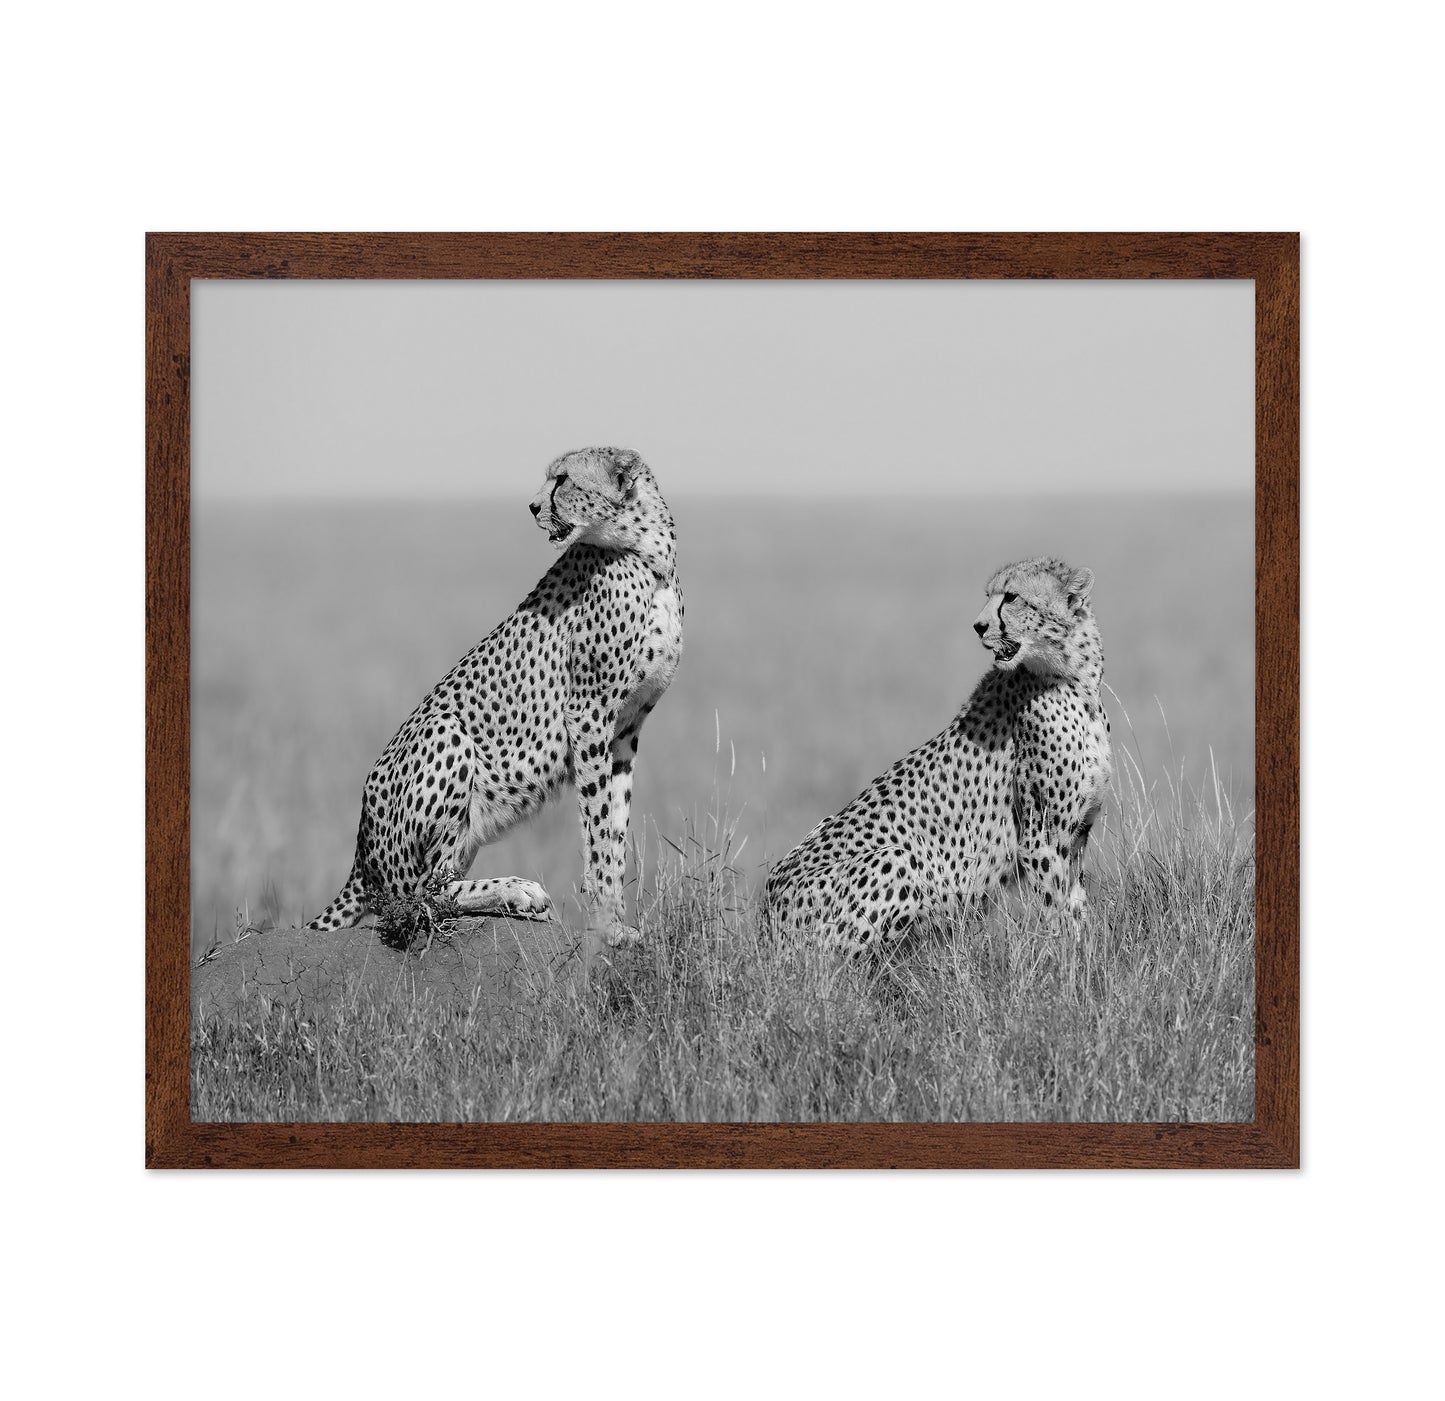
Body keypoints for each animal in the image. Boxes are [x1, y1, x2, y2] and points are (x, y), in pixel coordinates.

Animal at [306, 447, 683, 964]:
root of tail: (361, 852)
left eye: (563, 479)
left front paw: (618, 922)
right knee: (420, 895)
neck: (648, 552)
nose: (532, 506)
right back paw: (518, 891)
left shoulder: (625, 730)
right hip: (446, 731)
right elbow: (597, 827)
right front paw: (607, 925)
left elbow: (614, 826)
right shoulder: (588, 713)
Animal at [762, 556, 1111, 953]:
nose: (978, 626)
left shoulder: (1077, 834)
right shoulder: (1041, 839)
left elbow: (1076, 906)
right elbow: (1057, 912)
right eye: (989, 595)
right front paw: (1064, 959)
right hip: (895, 860)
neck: (1076, 679)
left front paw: (1085, 955)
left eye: (1011, 597)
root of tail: (767, 913)